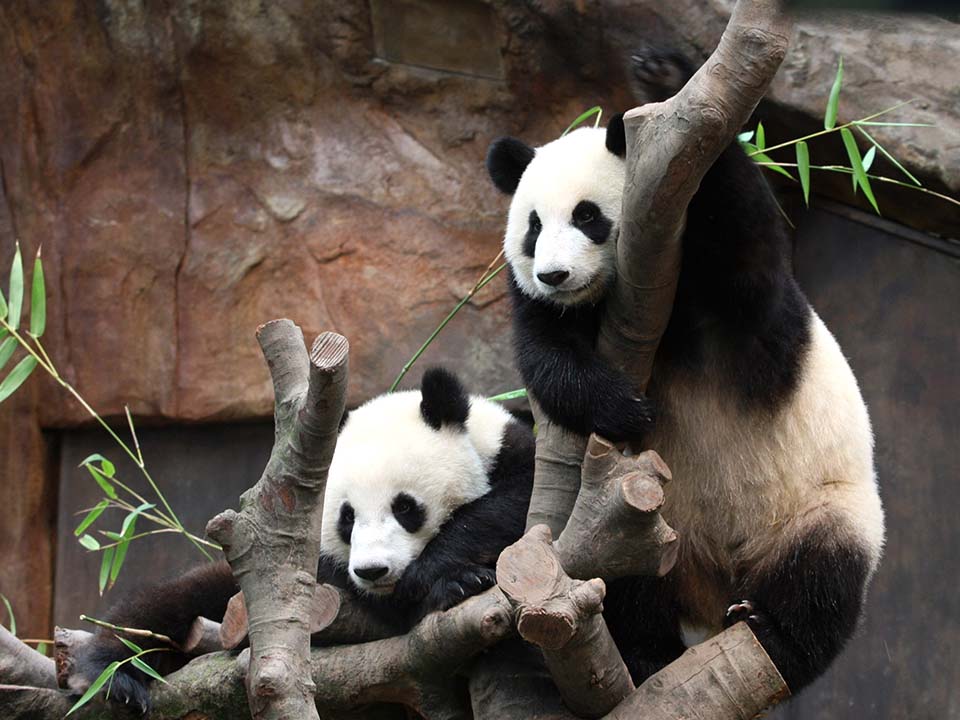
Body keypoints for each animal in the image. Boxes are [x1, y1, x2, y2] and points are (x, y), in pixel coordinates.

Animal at [71, 368, 536, 712]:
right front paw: (446, 584)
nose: (373, 570)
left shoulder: (521, 458)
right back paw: (114, 674)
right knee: (165, 604)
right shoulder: (328, 572)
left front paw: (452, 575)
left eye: (406, 507)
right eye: (346, 518)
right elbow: (388, 603)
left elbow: (511, 508)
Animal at [484, 46, 888, 692]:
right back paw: (647, 653)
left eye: (588, 217)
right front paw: (623, 407)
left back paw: (775, 635)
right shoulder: (545, 311)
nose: (553, 276)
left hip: (822, 507)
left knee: (823, 575)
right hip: (641, 529)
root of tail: (713, 588)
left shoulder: (733, 300)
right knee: (624, 583)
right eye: (533, 227)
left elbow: (748, 255)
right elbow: (545, 357)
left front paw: (664, 76)